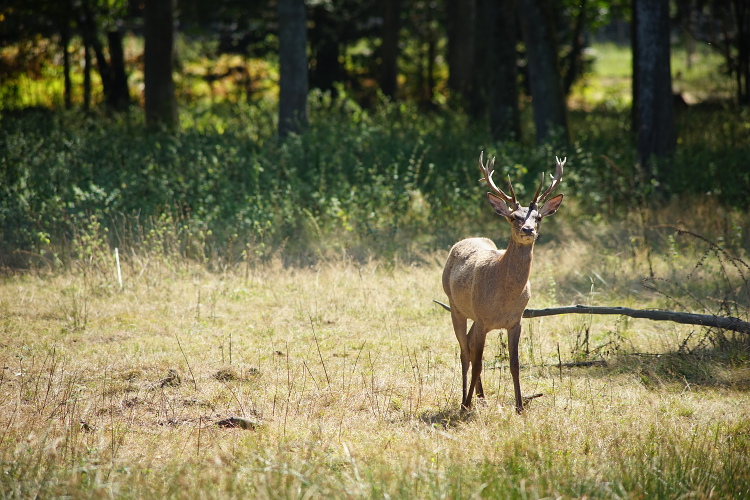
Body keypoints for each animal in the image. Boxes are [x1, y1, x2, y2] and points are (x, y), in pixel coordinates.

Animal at [440, 152, 564, 414]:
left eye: (538, 217)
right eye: (512, 217)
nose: (528, 229)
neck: (504, 297)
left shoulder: (516, 321)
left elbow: (514, 363)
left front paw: (520, 406)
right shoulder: (483, 319)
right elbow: (478, 362)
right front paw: (466, 404)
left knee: (468, 345)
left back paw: (482, 397)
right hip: (455, 306)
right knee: (464, 351)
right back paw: (465, 400)